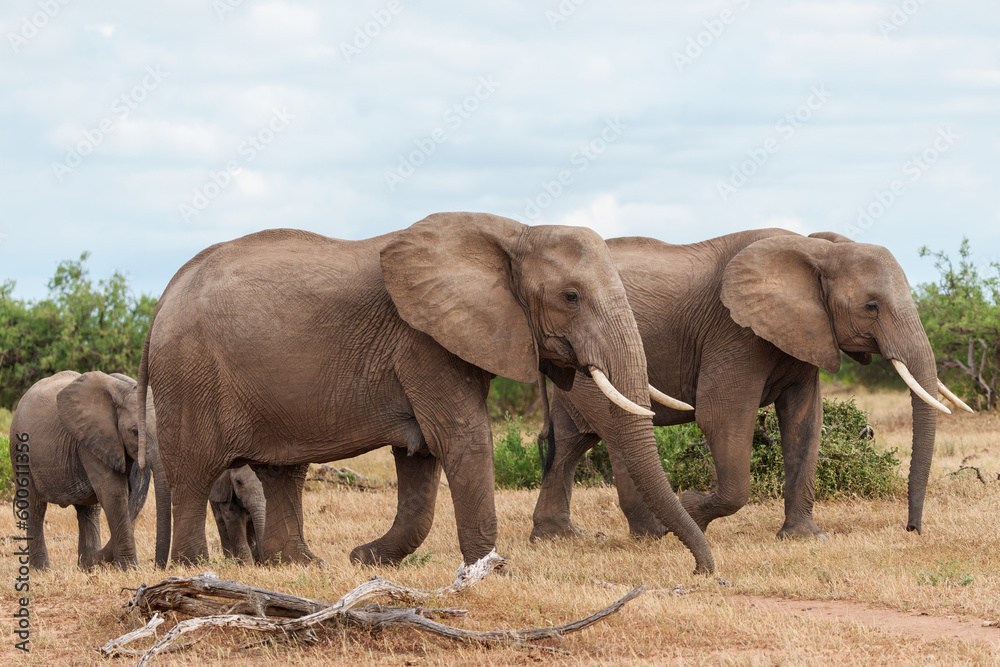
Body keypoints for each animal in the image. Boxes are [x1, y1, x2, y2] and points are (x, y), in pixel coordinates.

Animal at [9, 371, 171, 570]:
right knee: (35, 506)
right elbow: (114, 492)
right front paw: (130, 569)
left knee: (89, 511)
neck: (122, 390)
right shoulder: (91, 440)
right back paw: (41, 570)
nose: (158, 566)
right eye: (135, 432)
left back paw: (87, 566)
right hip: (20, 450)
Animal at [137, 212, 715, 573]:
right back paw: (193, 569)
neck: (515, 232)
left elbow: (419, 456)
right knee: (193, 472)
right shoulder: (423, 341)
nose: (705, 572)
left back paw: (300, 565)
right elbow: (462, 439)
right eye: (571, 297)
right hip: (190, 376)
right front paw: (490, 571)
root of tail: (163, 294)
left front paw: (365, 559)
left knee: (283, 473)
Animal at [531, 229, 971, 543]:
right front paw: (691, 509)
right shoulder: (734, 331)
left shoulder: (802, 334)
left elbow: (804, 422)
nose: (912, 530)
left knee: (571, 442)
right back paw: (655, 533)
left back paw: (558, 538)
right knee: (613, 436)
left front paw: (804, 539)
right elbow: (721, 417)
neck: (815, 251)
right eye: (872, 306)